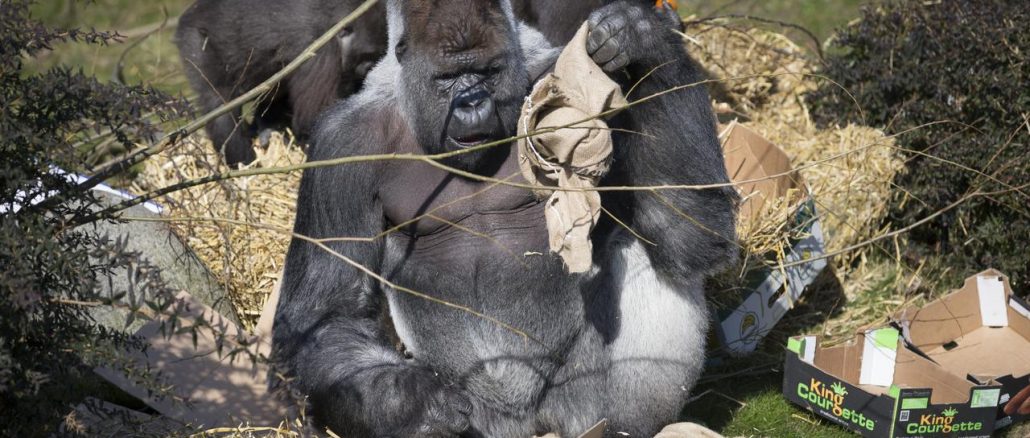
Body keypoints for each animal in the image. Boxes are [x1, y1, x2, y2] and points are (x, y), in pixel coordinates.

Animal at [175, 0, 388, 166]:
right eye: (368, 57)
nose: (370, 70)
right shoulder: (319, 49)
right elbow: (313, 120)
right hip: (195, 41)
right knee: (219, 106)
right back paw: (243, 163)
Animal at [272, 1, 737, 437]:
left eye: (488, 72)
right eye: (448, 78)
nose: (473, 103)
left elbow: (686, 228)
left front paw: (641, 40)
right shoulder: (340, 148)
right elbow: (329, 317)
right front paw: (417, 403)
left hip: (570, 411)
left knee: (645, 251)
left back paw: (624, 425)